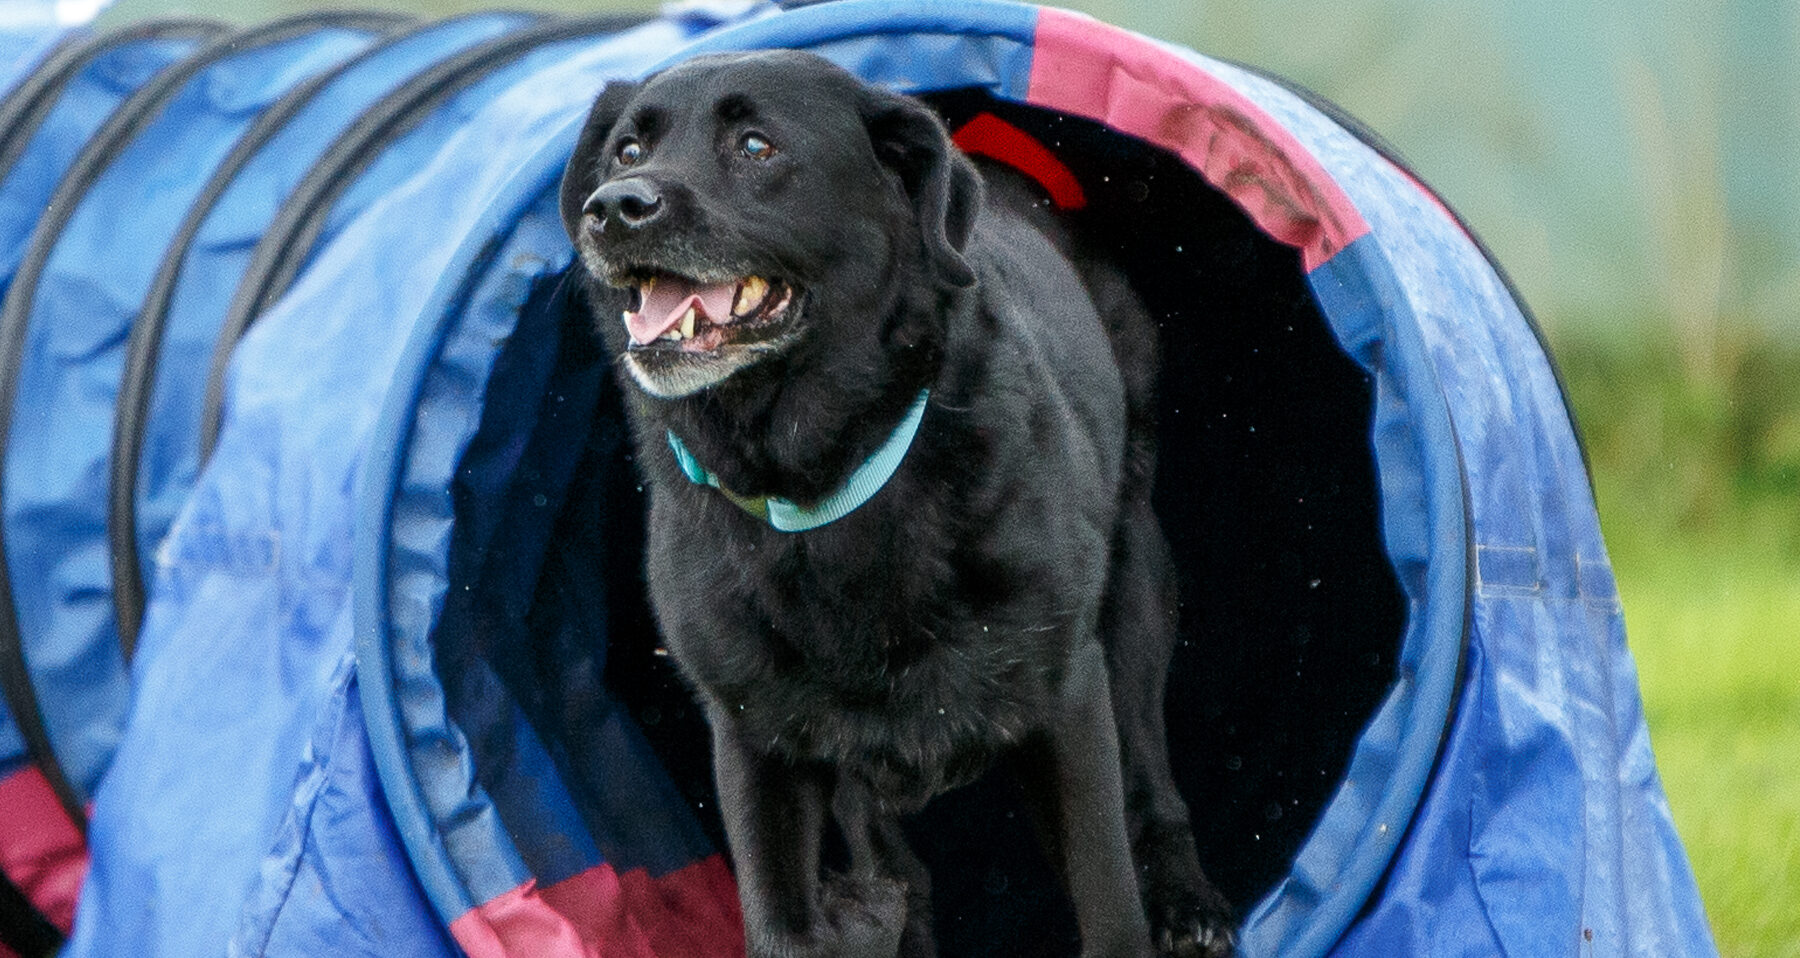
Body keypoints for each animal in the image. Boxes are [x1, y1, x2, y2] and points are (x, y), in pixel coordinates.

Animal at [560, 50, 1234, 958]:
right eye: (627, 151)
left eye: (756, 145)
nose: (612, 209)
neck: (819, 486)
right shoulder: (754, 741)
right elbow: (783, 922)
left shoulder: (1064, 694)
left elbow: (1108, 902)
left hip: (1134, 590)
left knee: (1151, 772)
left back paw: (1185, 900)